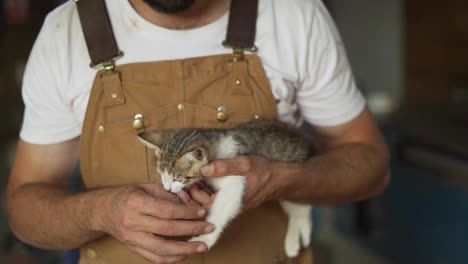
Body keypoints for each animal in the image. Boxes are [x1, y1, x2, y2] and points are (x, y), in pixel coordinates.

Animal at [139, 120, 314, 256]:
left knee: (300, 205)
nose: (167, 189)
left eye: (178, 178)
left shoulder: (234, 181)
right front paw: (182, 193)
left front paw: (206, 238)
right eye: (161, 174)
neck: (215, 147)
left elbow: (221, 210)